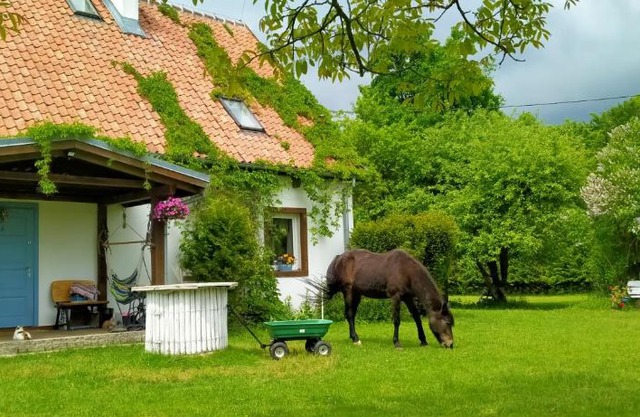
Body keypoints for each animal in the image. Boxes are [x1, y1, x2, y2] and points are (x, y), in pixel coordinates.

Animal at [325, 248, 454, 348]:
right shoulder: (396, 297)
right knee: (350, 314)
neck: (405, 270)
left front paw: (423, 341)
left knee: (350, 315)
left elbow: (417, 318)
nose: (450, 344)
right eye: (447, 322)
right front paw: (396, 342)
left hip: (357, 294)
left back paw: (352, 337)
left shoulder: (408, 298)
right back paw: (356, 339)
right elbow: (397, 320)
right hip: (348, 292)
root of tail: (339, 258)